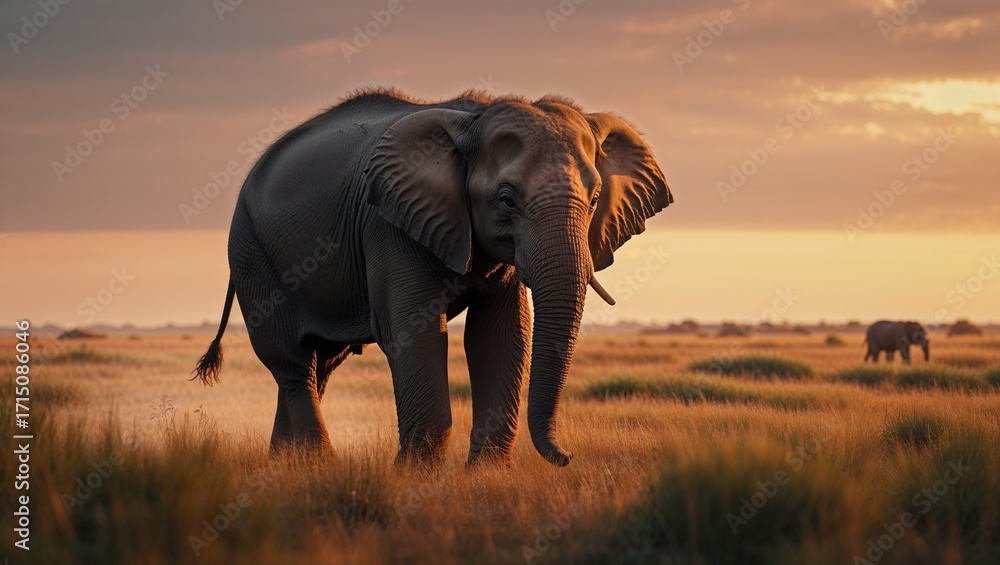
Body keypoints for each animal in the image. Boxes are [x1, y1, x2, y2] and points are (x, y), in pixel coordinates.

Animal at [193, 88, 673, 467]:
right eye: (506, 200)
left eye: (594, 200)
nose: (566, 456)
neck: (473, 118)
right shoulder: (387, 224)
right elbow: (415, 333)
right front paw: (412, 478)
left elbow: (498, 335)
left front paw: (484, 480)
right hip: (251, 253)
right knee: (292, 361)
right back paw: (317, 467)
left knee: (319, 365)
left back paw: (283, 467)